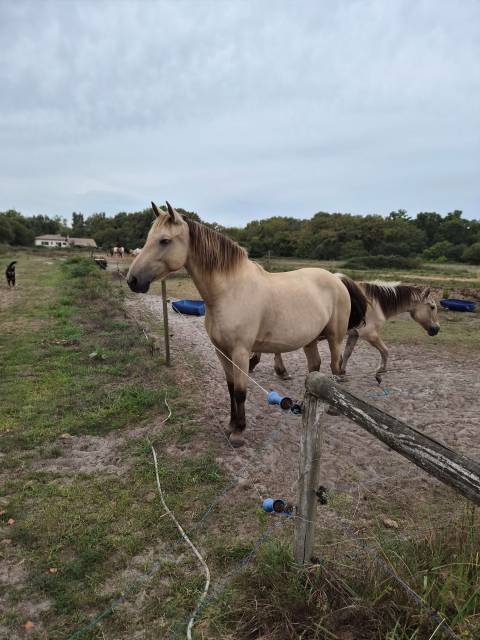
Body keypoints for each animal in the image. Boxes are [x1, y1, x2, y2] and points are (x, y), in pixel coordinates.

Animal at [127, 201, 368, 447]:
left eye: (164, 240)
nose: (132, 280)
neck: (229, 291)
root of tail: (336, 278)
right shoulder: (221, 351)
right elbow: (231, 388)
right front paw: (231, 425)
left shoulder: (241, 352)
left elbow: (241, 392)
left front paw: (239, 432)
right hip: (310, 340)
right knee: (315, 368)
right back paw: (304, 405)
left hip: (335, 338)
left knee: (334, 368)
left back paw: (333, 409)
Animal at [250, 281, 440, 383]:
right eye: (432, 306)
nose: (436, 329)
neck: (374, 303)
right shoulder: (370, 335)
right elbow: (385, 351)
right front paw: (379, 373)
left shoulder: (354, 335)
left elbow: (347, 354)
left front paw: (342, 372)